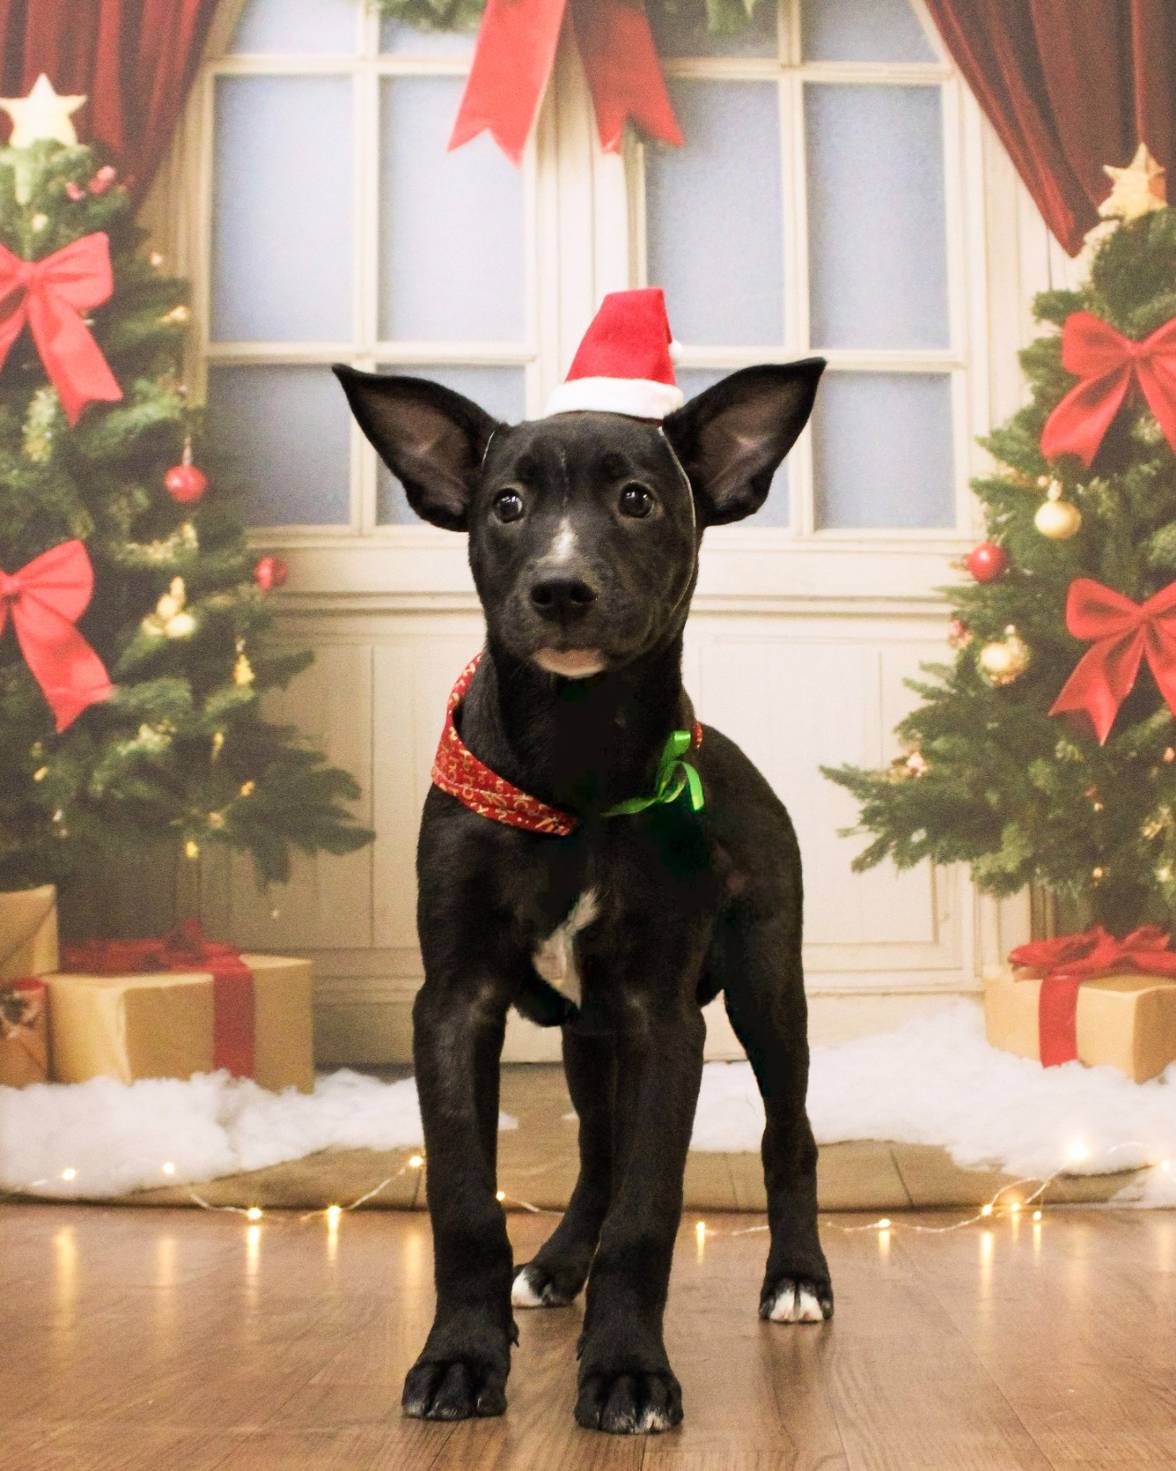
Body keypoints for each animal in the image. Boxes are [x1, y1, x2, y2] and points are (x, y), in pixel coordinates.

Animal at [334, 343, 832, 1435]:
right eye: (507, 504)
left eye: (638, 499)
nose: (561, 589)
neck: (576, 774)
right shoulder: (457, 1003)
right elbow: (466, 1203)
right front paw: (460, 1357)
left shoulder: (661, 1019)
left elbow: (650, 1209)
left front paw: (628, 1372)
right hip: (582, 1037)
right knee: (599, 1155)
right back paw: (560, 1264)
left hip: (767, 990)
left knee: (789, 1135)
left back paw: (797, 1278)